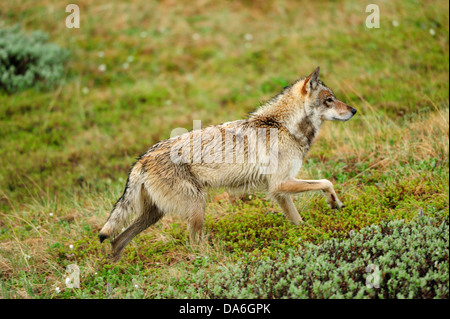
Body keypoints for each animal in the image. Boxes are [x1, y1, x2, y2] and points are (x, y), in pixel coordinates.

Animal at [98, 67, 356, 262]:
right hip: (196, 208)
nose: (354, 110)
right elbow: (326, 181)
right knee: (193, 246)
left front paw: (309, 235)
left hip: (154, 215)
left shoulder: (279, 191)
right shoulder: (281, 184)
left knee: (116, 241)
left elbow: (298, 220)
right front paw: (334, 203)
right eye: (329, 100)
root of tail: (142, 158)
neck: (283, 126)